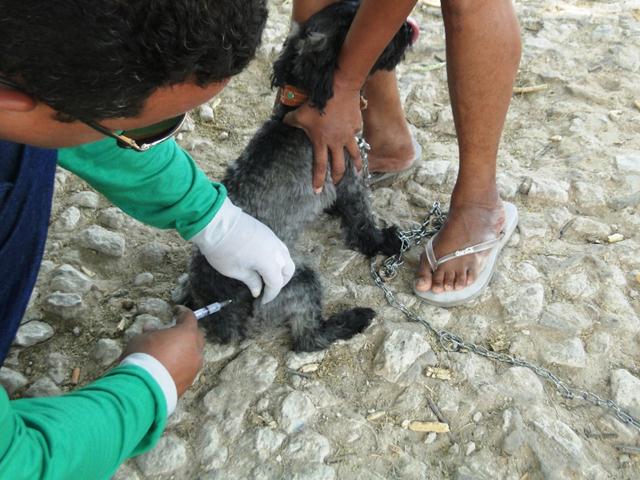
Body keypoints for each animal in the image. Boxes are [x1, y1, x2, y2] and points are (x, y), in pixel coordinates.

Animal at [189, 0, 416, 351]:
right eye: (354, 23)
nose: (407, 27)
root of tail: (224, 316)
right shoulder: (350, 178)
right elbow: (362, 220)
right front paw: (385, 241)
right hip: (297, 280)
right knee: (308, 339)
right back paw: (353, 319)